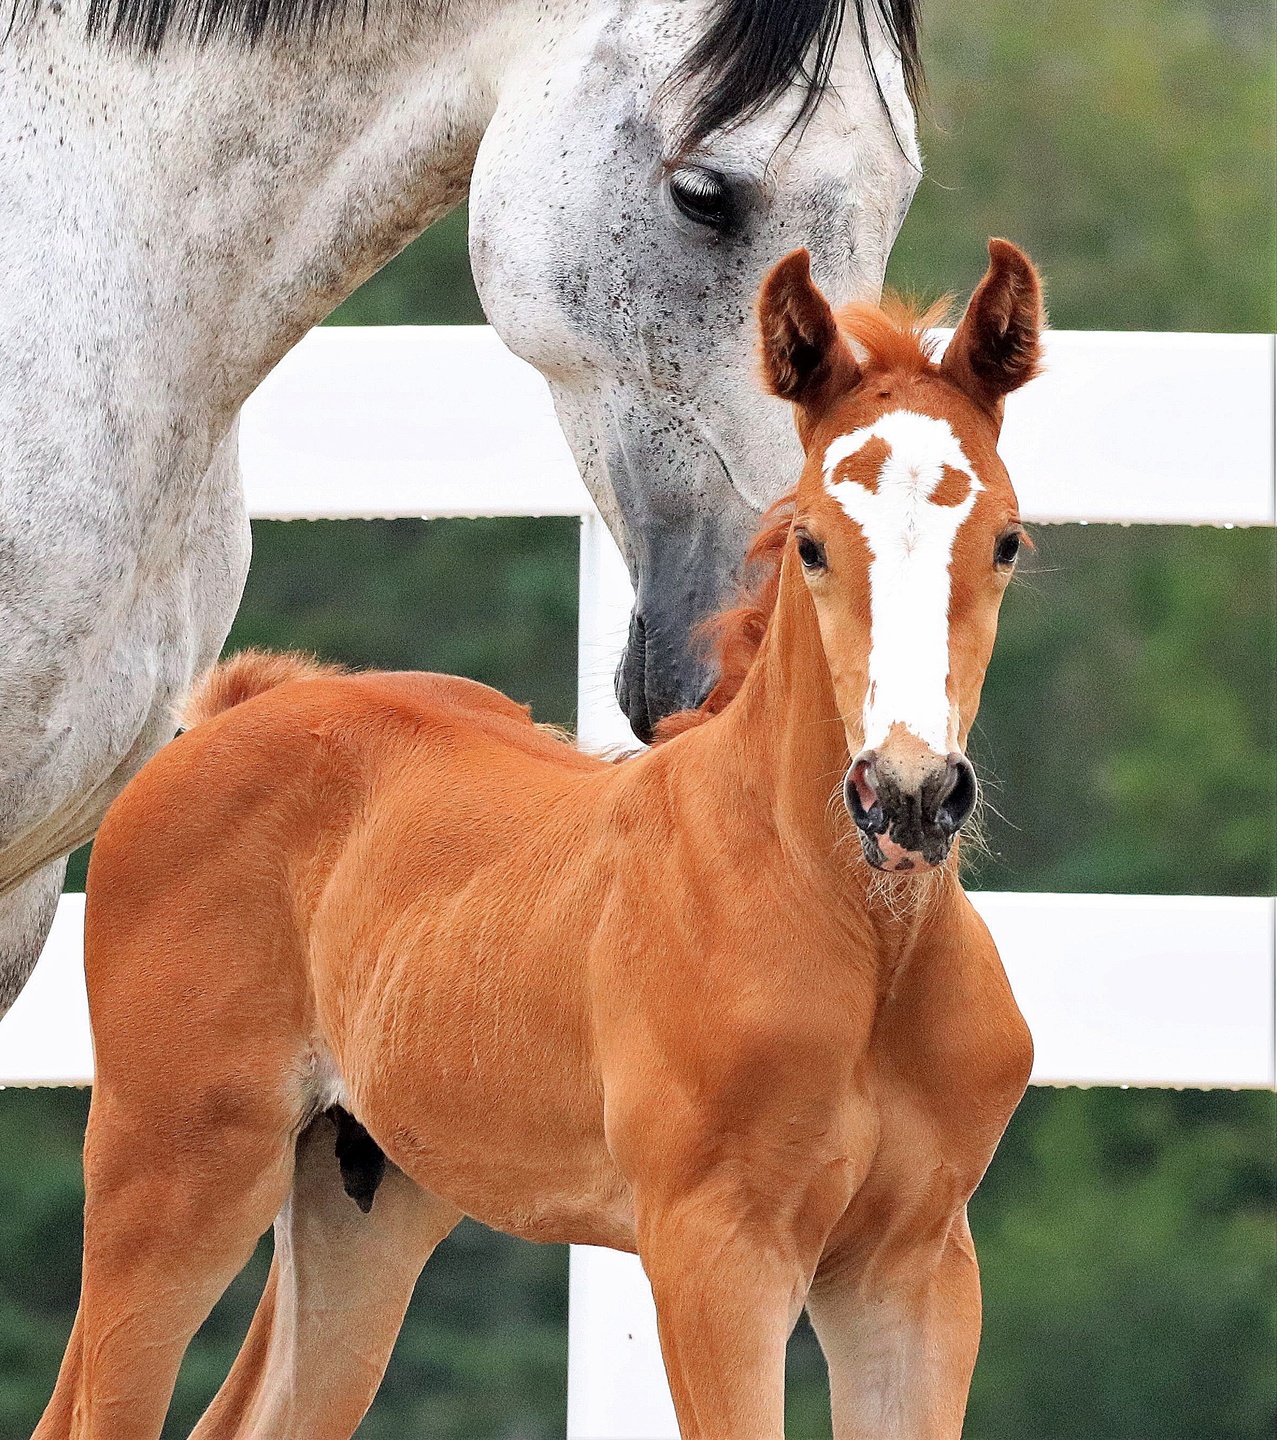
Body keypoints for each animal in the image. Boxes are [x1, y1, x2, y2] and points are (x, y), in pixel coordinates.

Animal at [35, 238, 1042, 1440]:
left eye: (1006, 542)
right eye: (809, 544)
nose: (907, 793)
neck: (858, 936)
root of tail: (232, 711)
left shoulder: (914, 1269)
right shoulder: (715, 1251)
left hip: (360, 1198)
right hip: (170, 1169)